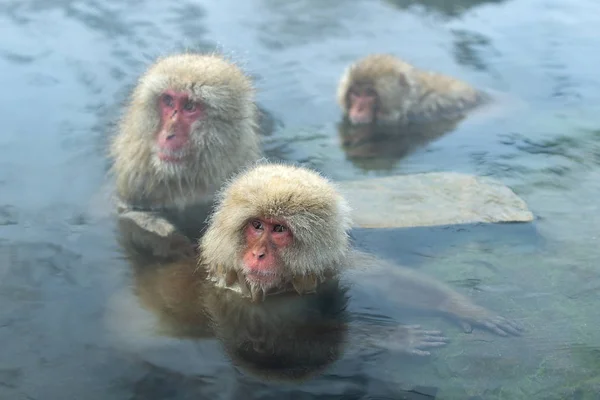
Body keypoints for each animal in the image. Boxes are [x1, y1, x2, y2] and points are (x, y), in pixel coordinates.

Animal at [199, 162, 524, 338]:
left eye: (278, 229)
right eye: (256, 225)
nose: (258, 255)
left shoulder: (338, 266)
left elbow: (391, 283)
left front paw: (459, 307)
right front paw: (392, 337)